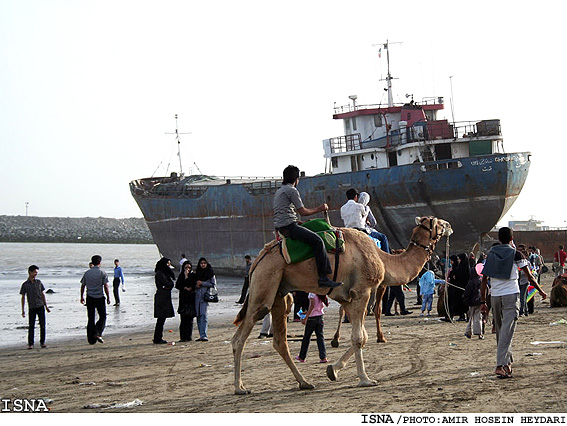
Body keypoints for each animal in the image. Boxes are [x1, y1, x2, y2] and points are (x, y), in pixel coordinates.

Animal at [231, 215, 452, 394]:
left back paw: (304, 382)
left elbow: (362, 336)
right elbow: (358, 338)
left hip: (279, 292)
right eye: (438, 223)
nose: (450, 225)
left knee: (279, 341)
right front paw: (365, 379)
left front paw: (332, 370)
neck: (383, 259)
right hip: (265, 284)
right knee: (240, 337)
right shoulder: (363, 291)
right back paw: (240, 387)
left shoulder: (348, 297)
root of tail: (258, 260)